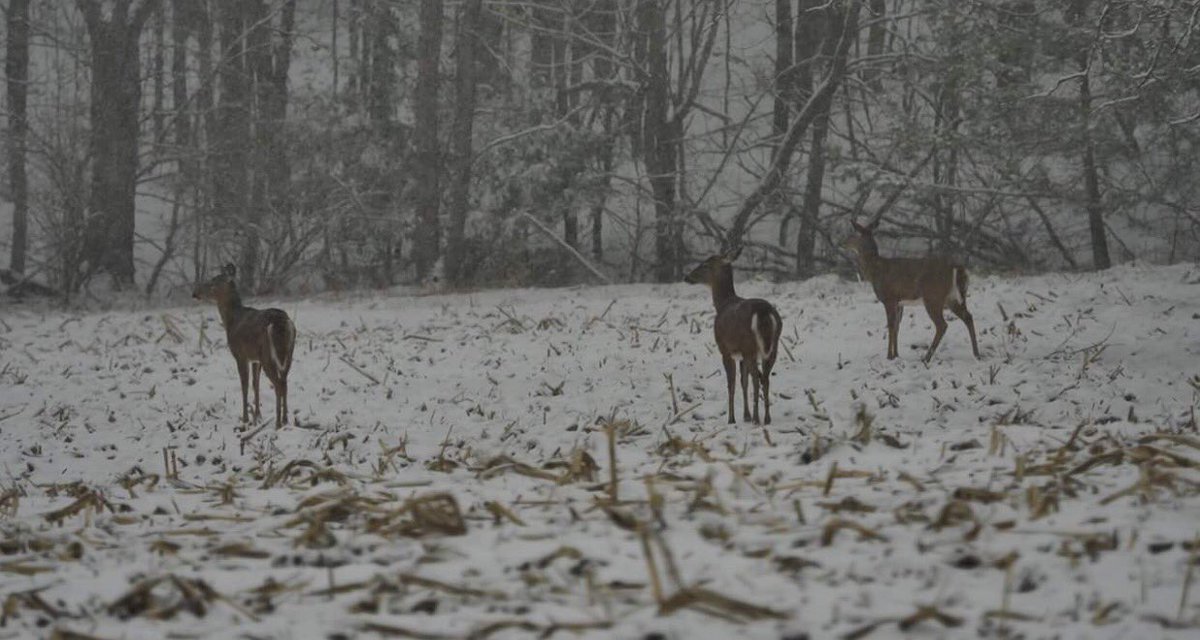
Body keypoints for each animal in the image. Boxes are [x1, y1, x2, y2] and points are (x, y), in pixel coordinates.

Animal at [193, 264, 296, 429]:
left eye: (212, 283)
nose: (195, 293)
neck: (231, 320)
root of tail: (280, 322)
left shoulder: (240, 354)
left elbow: (244, 385)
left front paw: (245, 418)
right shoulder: (255, 358)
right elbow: (255, 384)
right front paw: (257, 417)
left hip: (268, 355)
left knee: (278, 384)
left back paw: (278, 422)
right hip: (288, 353)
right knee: (285, 382)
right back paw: (285, 420)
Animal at [684, 246, 783, 425]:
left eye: (705, 264)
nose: (687, 277)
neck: (722, 304)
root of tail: (763, 312)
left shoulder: (725, 349)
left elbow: (732, 383)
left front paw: (732, 418)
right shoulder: (741, 354)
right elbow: (743, 382)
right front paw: (746, 415)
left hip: (750, 346)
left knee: (756, 379)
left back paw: (757, 419)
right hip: (773, 347)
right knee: (765, 378)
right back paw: (766, 418)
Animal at [842, 218, 981, 363]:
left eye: (854, 233)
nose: (843, 243)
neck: (875, 271)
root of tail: (956, 267)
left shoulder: (889, 298)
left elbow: (891, 326)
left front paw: (889, 356)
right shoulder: (899, 302)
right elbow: (897, 327)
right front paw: (896, 355)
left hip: (933, 296)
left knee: (942, 325)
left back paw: (927, 357)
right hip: (954, 298)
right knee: (968, 317)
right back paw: (976, 354)